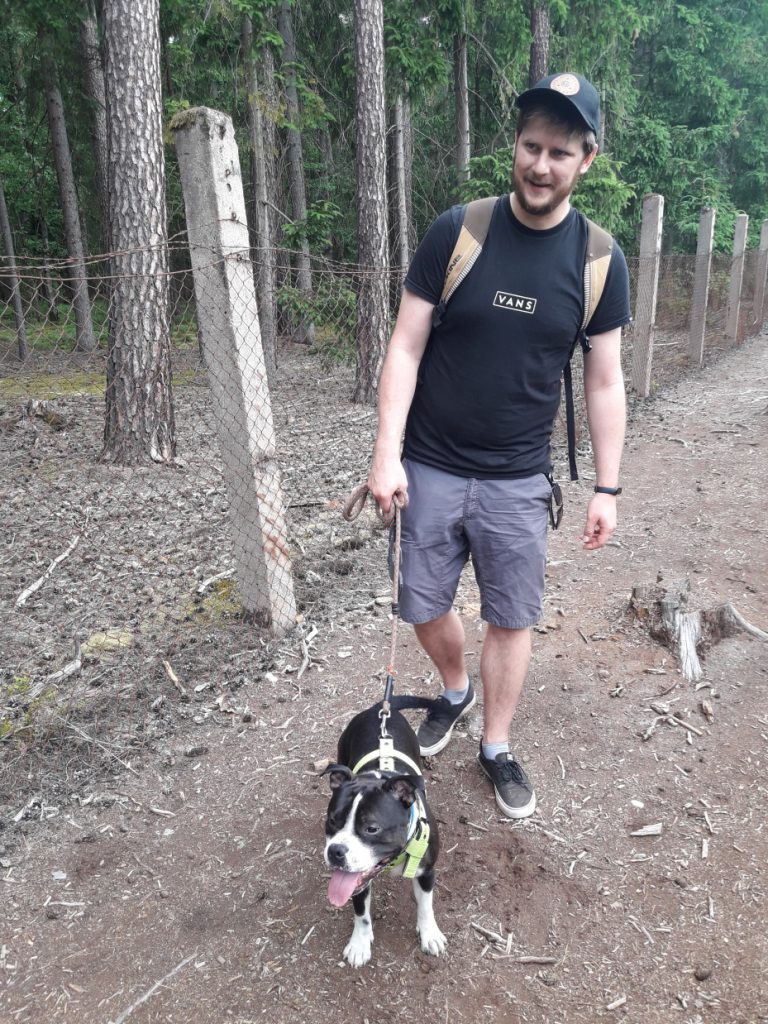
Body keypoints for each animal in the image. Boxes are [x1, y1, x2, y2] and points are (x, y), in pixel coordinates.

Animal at [323, 701, 447, 967]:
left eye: (372, 828)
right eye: (332, 821)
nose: (335, 851)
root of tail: (379, 707)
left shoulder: (427, 872)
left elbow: (426, 906)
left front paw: (430, 934)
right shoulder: (356, 879)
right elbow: (361, 914)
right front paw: (359, 944)